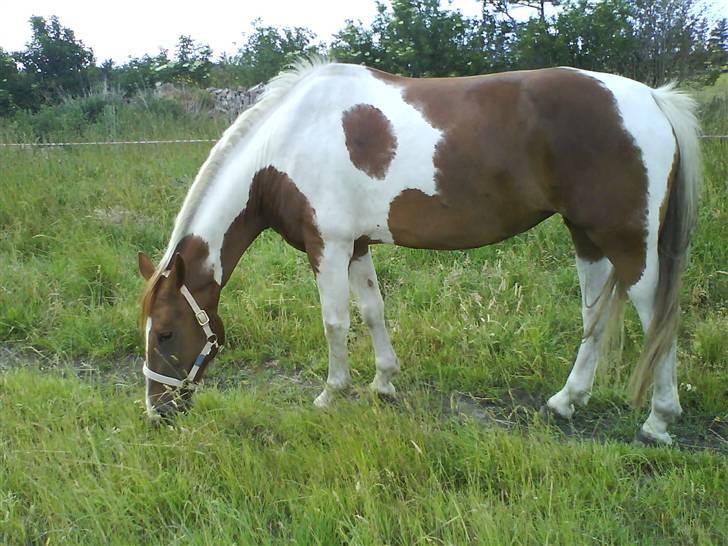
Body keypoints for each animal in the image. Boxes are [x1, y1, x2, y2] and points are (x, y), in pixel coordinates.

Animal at [138, 58, 700, 442]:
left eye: (165, 332)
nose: (157, 411)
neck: (284, 146)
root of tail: (652, 99)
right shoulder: (356, 246)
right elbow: (372, 311)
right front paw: (383, 383)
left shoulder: (328, 246)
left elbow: (335, 321)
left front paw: (331, 393)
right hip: (586, 237)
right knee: (594, 317)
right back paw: (566, 401)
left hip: (630, 244)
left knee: (658, 320)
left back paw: (658, 421)